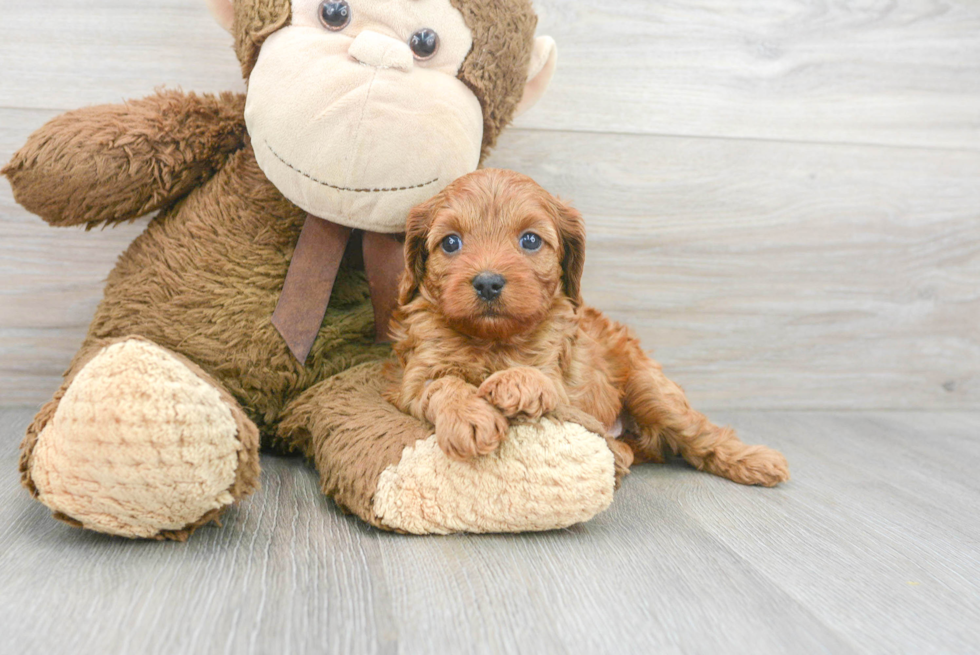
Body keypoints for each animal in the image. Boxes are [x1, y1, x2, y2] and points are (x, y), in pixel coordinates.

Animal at [386, 169, 792, 486]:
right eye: (451, 242)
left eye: (529, 240)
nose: (487, 283)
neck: (492, 341)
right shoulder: (417, 376)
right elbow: (443, 385)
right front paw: (469, 418)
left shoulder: (558, 375)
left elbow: (538, 377)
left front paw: (513, 383)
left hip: (649, 387)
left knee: (701, 434)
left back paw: (757, 461)